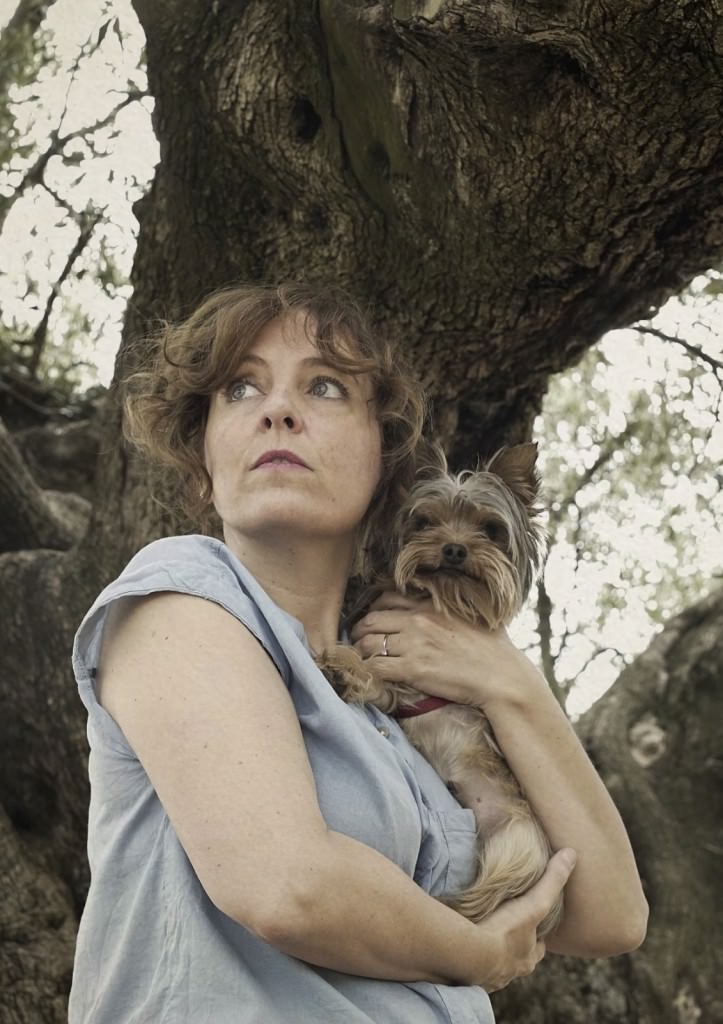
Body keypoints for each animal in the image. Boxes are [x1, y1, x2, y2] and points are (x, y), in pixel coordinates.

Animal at [317, 440, 561, 937]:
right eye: (425, 521)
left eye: (490, 529)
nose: (453, 548)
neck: (441, 597)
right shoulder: (398, 688)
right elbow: (381, 679)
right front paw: (349, 668)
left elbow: (378, 670)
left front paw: (346, 667)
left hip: (520, 845)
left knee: (485, 899)